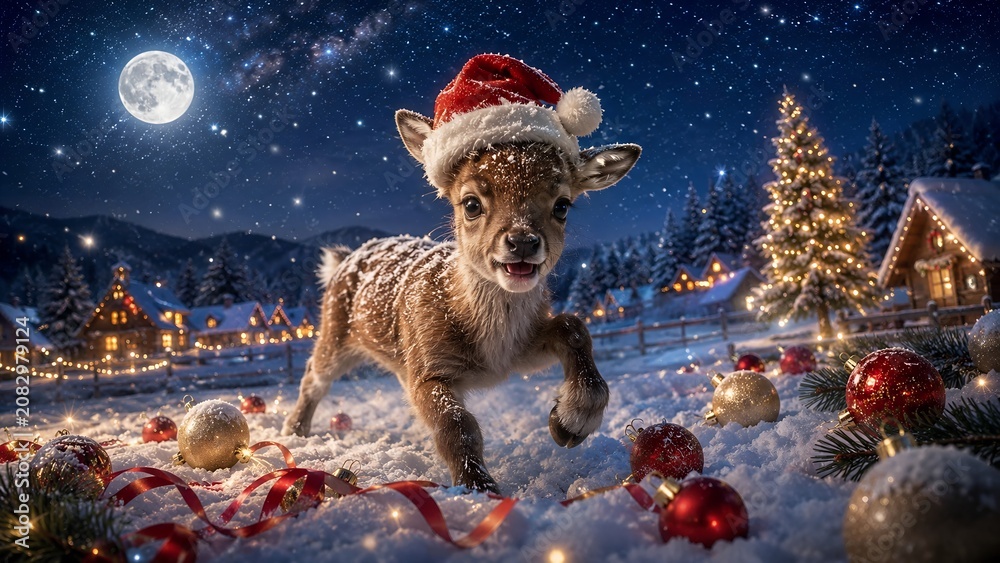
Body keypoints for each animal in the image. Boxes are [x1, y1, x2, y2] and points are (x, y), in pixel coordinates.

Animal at [282, 54, 641, 494]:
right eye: (471, 203)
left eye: (562, 205)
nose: (522, 242)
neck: (490, 343)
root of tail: (345, 257)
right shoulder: (426, 366)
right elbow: (457, 423)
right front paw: (478, 485)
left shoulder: (517, 354)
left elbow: (573, 325)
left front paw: (571, 421)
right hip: (334, 332)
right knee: (312, 375)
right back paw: (294, 430)